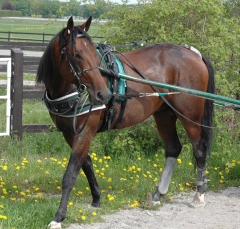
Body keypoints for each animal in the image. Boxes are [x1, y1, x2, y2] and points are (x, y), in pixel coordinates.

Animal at [36, 16, 215, 229]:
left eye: (94, 55)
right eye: (77, 55)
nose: (102, 94)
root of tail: (193, 53)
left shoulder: (85, 131)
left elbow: (71, 173)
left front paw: (59, 216)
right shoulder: (69, 133)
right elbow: (86, 163)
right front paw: (96, 198)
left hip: (190, 115)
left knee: (199, 149)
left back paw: (199, 194)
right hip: (164, 114)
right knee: (173, 148)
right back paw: (158, 195)